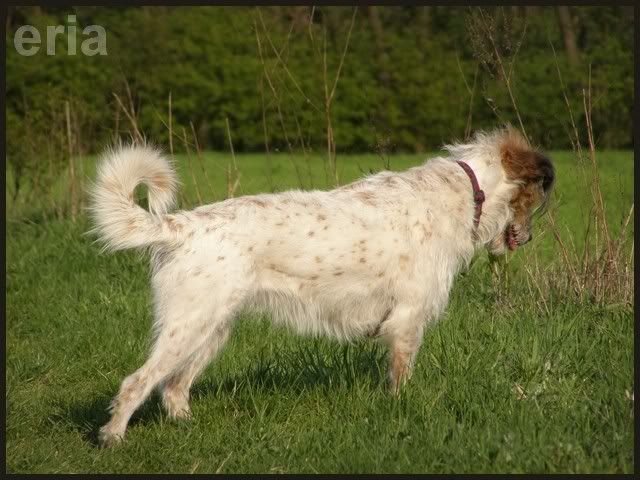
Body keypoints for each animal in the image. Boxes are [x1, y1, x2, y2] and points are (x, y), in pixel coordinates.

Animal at [90, 126, 554, 446]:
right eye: (534, 197)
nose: (531, 238)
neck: (466, 192)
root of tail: (178, 225)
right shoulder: (407, 321)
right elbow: (401, 378)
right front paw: (402, 411)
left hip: (210, 331)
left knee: (173, 387)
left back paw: (186, 425)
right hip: (188, 328)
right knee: (136, 383)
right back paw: (113, 438)